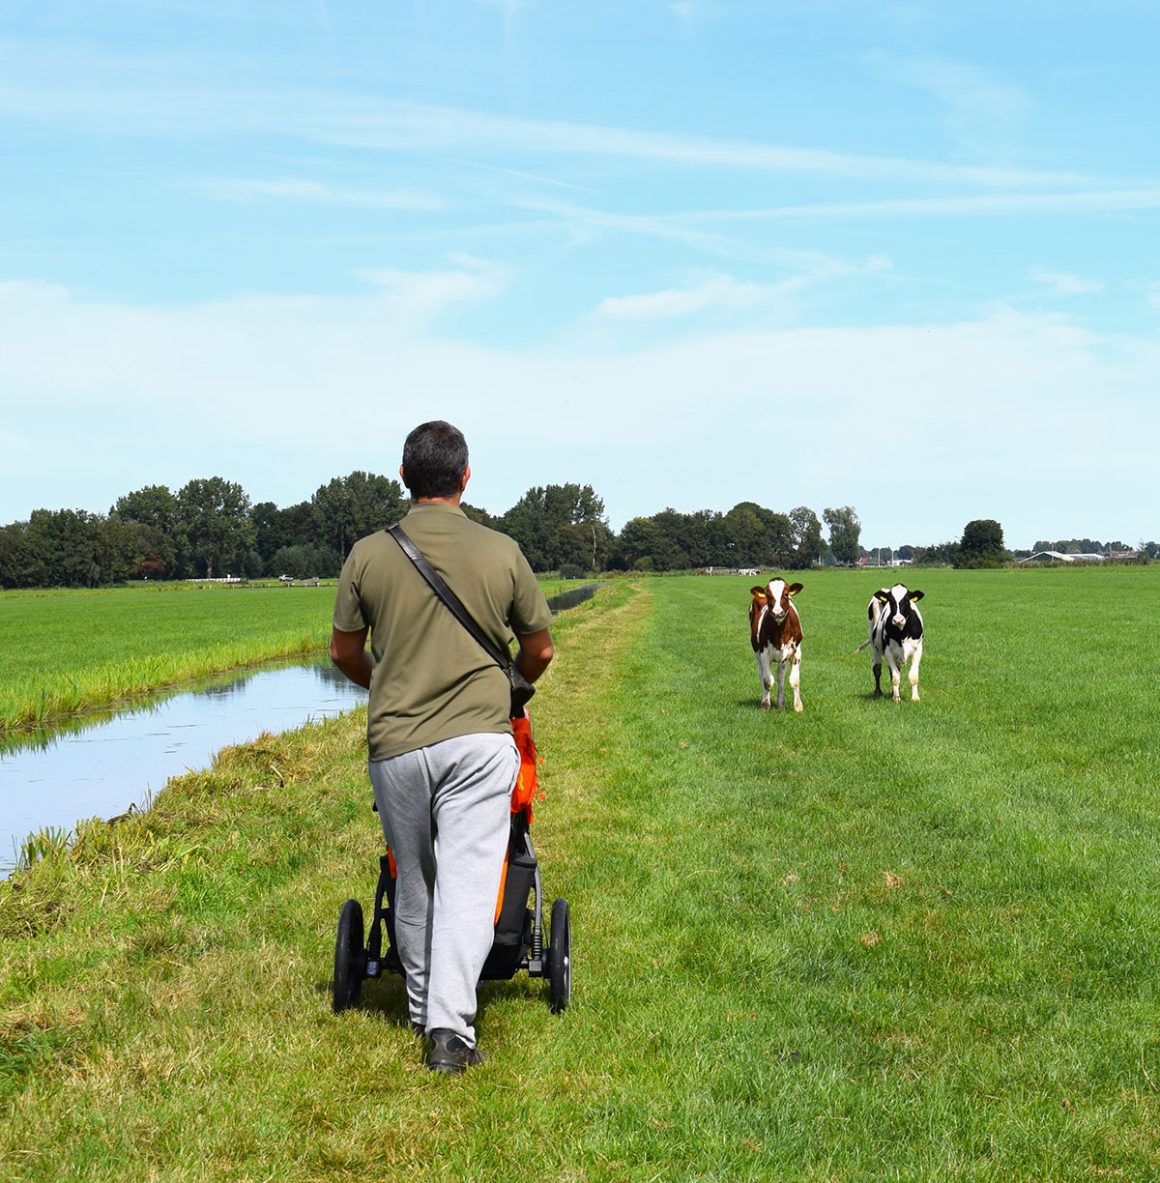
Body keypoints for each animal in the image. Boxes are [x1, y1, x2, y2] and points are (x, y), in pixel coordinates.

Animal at [749, 578, 804, 712]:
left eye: (786, 594)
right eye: (768, 595)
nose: (777, 613)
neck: (780, 633)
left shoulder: (797, 652)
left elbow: (794, 680)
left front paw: (798, 707)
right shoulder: (763, 653)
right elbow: (768, 680)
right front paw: (766, 705)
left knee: (780, 675)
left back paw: (781, 703)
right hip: (756, 652)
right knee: (761, 674)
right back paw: (765, 699)